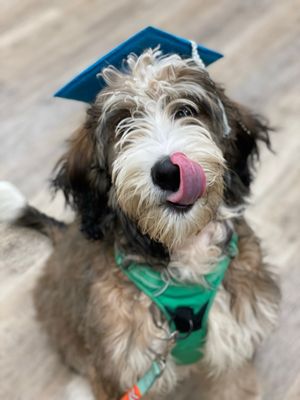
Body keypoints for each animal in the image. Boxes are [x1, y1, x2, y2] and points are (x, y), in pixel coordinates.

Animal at [0, 48, 282, 398]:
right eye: (123, 124)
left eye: (186, 110)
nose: (168, 171)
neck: (181, 247)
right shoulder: (122, 362)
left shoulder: (235, 340)